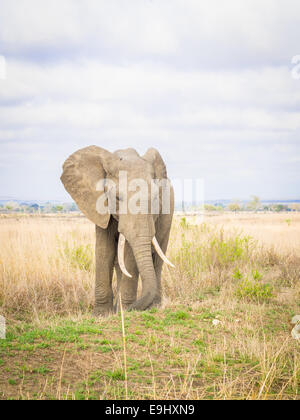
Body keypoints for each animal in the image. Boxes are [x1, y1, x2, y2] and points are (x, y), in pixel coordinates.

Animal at [60, 147, 173, 316]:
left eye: (155, 198)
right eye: (118, 198)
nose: (135, 308)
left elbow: (130, 253)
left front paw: (124, 310)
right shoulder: (98, 204)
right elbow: (104, 250)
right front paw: (101, 315)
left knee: (157, 260)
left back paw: (154, 306)